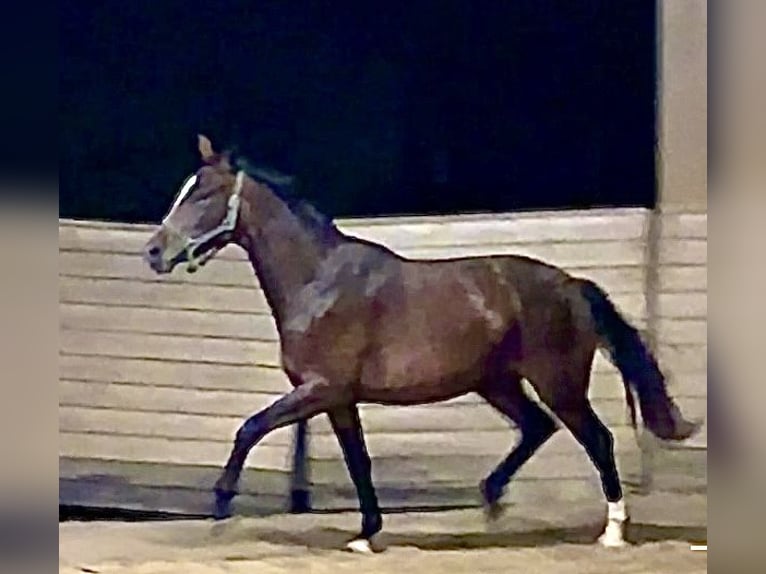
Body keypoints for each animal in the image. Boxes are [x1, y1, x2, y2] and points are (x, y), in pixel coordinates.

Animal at [142, 135, 704, 552]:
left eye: (203, 194)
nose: (154, 251)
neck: (317, 281)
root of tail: (571, 285)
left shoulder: (320, 389)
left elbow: (249, 429)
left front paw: (220, 510)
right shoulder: (338, 399)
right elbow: (358, 461)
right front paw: (366, 535)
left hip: (557, 383)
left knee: (597, 439)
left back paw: (612, 532)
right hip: (497, 382)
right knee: (537, 428)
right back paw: (491, 499)